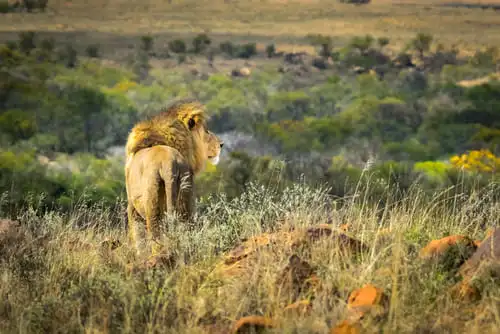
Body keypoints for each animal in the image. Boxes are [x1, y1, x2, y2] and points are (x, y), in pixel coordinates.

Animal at [126, 99, 224, 253]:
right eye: (206, 131)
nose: (222, 144)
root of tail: (167, 162)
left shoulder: (132, 207)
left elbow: (139, 238)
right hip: (185, 194)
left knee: (156, 236)